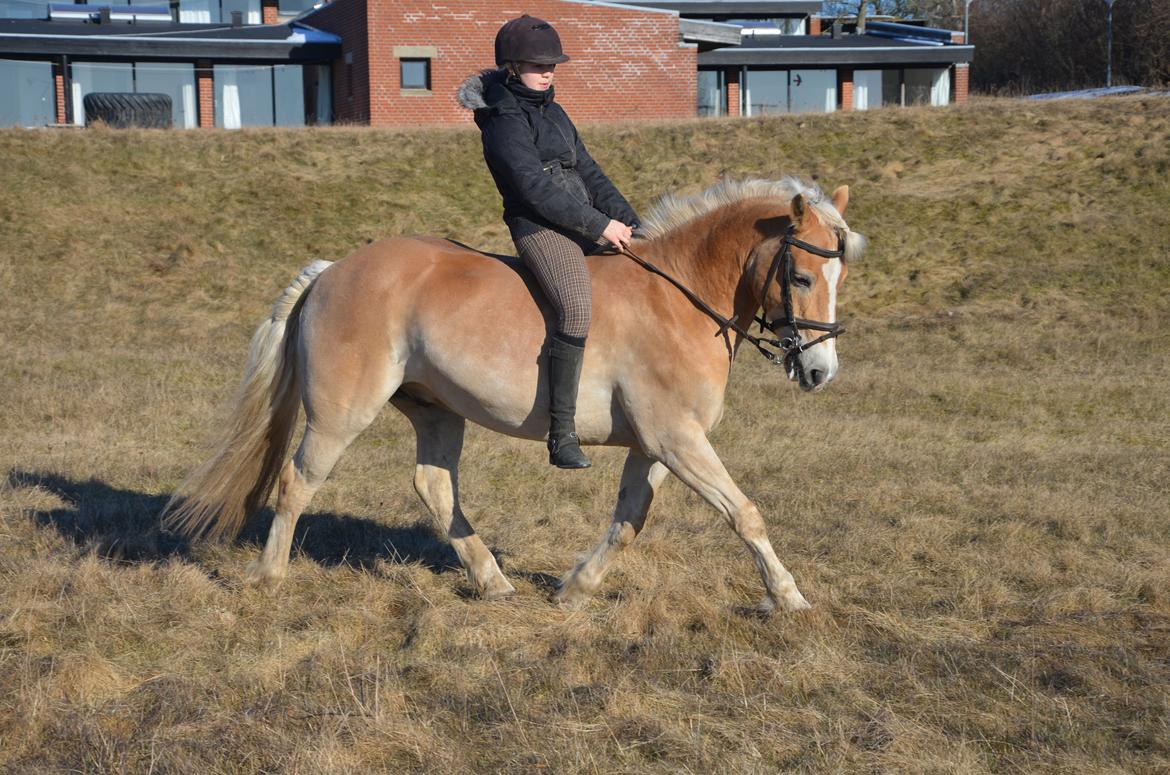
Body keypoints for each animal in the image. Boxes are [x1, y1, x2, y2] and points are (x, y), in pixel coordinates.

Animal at [162, 177, 861, 613]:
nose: (819, 371)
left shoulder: (657, 446)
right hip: (341, 414)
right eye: (802, 276)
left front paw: (576, 588)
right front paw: (789, 597)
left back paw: (493, 581)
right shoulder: (676, 439)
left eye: (840, 276)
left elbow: (628, 523)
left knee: (435, 488)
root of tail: (331, 270)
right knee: (298, 482)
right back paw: (269, 577)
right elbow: (744, 513)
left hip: (436, 410)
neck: (679, 298)